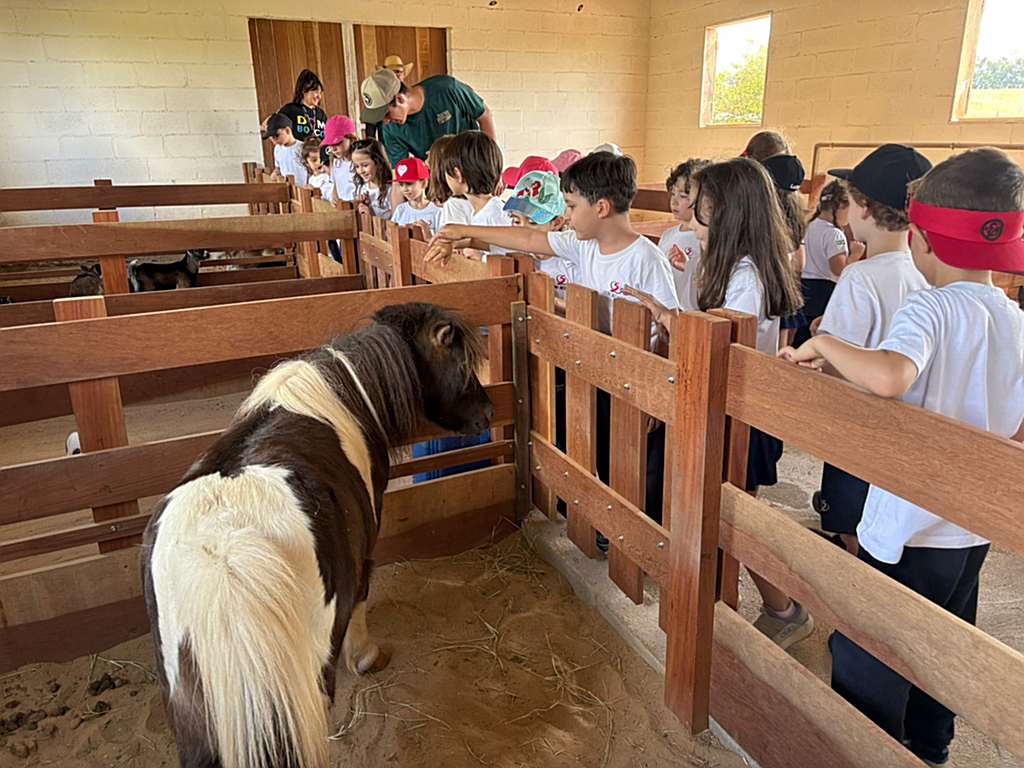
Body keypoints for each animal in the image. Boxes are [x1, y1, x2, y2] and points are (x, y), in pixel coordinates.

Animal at [141, 302, 493, 768]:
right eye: (464, 365)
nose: (487, 414)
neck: (340, 394)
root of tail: (224, 551)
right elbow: (361, 597)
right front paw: (365, 657)